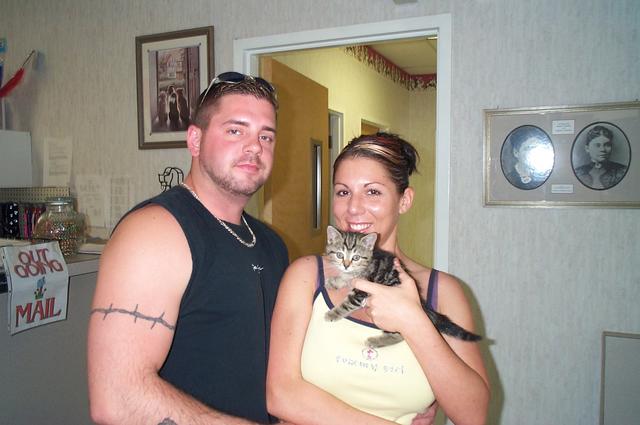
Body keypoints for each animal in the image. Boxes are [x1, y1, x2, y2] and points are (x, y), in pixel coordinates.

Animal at [324, 225, 482, 348]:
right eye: (339, 255)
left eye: (356, 257)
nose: (346, 265)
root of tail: (422, 305)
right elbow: (345, 278)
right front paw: (334, 281)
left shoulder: (362, 289)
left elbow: (347, 303)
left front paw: (333, 313)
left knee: (400, 335)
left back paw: (376, 341)